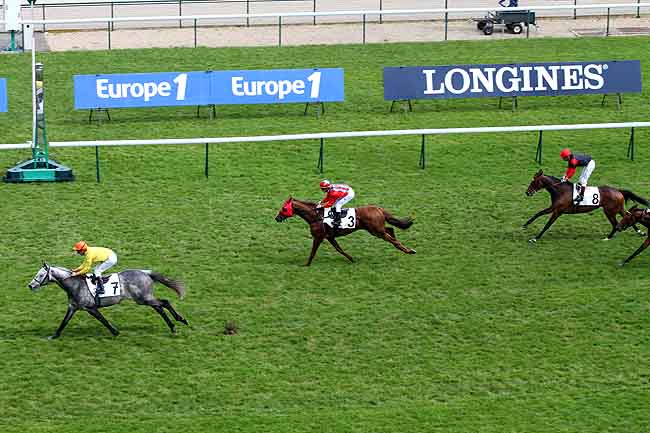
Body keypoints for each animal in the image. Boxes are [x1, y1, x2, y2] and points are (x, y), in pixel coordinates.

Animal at [29, 262, 189, 340]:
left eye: (41, 274)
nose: (30, 285)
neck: (75, 284)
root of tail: (145, 273)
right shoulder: (73, 307)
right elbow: (64, 322)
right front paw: (54, 335)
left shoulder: (90, 308)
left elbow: (103, 320)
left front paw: (115, 332)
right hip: (145, 298)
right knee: (159, 307)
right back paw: (173, 326)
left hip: (143, 298)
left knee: (165, 302)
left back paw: (180, 320)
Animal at [274, 195, 416, 264]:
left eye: (284, 209)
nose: (277, 218)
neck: (316, 216)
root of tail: (378, 208)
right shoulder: (330, 237)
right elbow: (339, 249)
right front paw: (352, 259)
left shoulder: (318, 237)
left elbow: (313, 252)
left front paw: (306, 264)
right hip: (376, 229)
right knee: (390, 229)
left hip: (376, 231)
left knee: (392, 239)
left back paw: (409, 251)